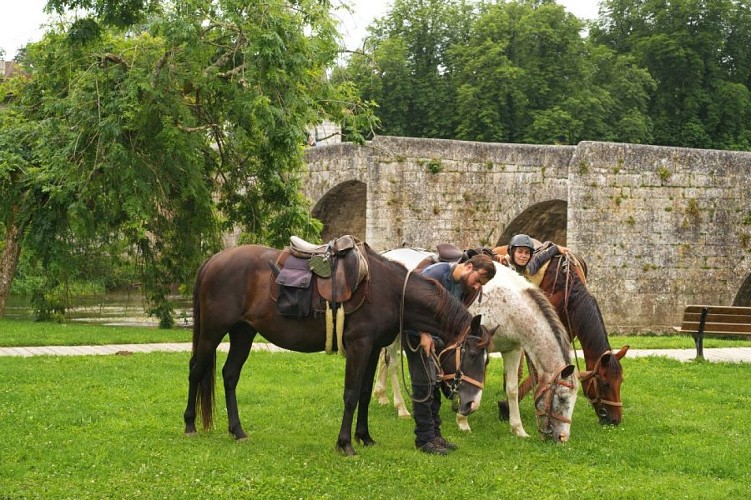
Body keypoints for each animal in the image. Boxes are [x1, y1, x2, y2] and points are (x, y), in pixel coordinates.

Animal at [182, 242, 487, 456]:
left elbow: (364, 393)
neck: (389, 291)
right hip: (213, 331)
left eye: (486, 360)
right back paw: (190, 425)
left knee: (230, 375)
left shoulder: (373, 348)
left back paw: (237, 431)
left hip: (243, 332)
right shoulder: (359, 346)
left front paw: (364, 437)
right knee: (196, 370)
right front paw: (345, 444)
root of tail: (212, 261)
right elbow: (350, 395)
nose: (471, 404)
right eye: (471, 354)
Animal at [380, 248, 578, 442]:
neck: (509, 308)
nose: (563, 438)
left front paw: (518, 428)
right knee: (393, 366)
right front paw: (462, 421)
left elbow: (512, 390)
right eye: (562, 398)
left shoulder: (512, 350)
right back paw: (401, 408)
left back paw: (381, 396)